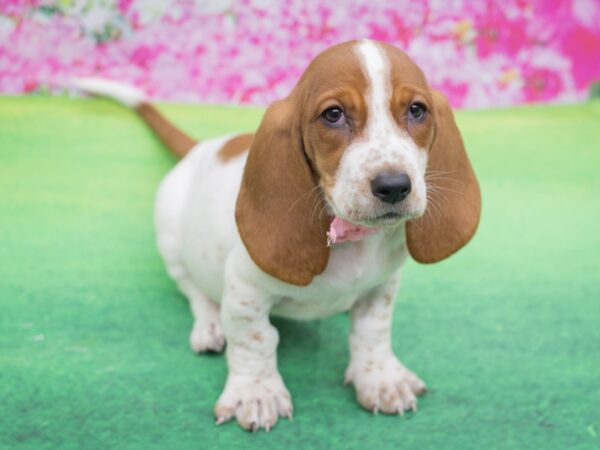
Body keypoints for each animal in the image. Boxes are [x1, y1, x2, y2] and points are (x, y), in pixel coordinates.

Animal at [74, 38, 482, 432]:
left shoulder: (382, 286)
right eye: (333, 115)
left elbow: (373, 331)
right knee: (193, 289)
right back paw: (209, 325)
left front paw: (381, 379)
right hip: (170, 237)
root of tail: (200, 148)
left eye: (417, 110)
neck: (352, 239)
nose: (394, 185)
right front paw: (256, 393)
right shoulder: (245, 290)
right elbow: (255, 340)